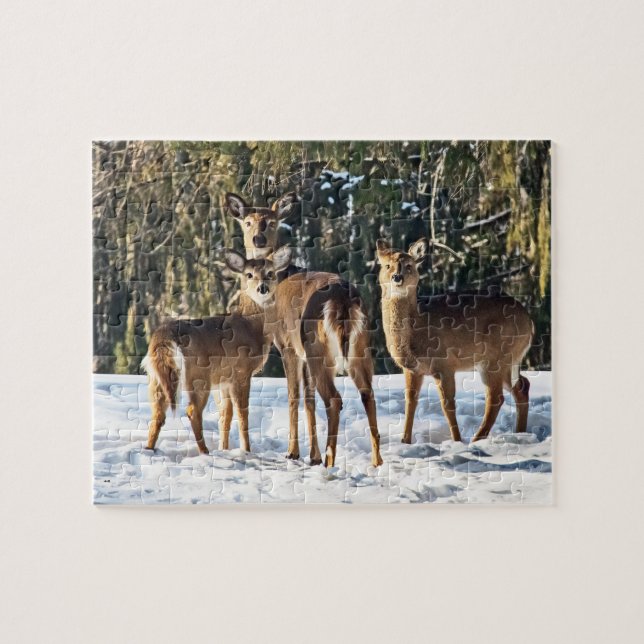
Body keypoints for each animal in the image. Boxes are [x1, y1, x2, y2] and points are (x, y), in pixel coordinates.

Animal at [143, 246, 292, 454]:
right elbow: (242, 414)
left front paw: (225, 448)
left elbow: (225, 415)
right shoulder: (241, 371)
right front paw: (246, 450)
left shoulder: (223, 379)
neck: (250, 326)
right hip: (198, 375)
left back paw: (149, 448)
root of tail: (164, 337)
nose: (263, 287)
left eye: (270, 273)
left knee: (157, 414)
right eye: (249, 274)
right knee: (192, 411)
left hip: (156, 377)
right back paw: (204, 451)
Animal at [225, 192, 383, 468]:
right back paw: (375, 461)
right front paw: (313, 455)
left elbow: (294, 396)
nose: (258, 238)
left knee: (334, 399)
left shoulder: (288, 345)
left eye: (272, 222)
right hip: (359, 347)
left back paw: (331, 460)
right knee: (367, 394)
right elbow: (309, 400)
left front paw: (294, 452)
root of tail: (342, 300)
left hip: (318, 347)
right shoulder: (302, 351)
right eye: (247, 221)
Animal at [376, 238, 533, 444]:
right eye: (387, 265)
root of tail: (529, 321)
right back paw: (520, 433)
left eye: (409, 265)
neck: (417, 327)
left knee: (496, 397)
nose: (397, 277)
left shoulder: (444, 364)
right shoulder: (412, 369)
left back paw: (476, 439)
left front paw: (457, 440)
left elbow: (447, 405)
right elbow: (410, 402)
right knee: (522, 386)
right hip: (508, 360)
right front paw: (405, 442)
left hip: (496, 356)